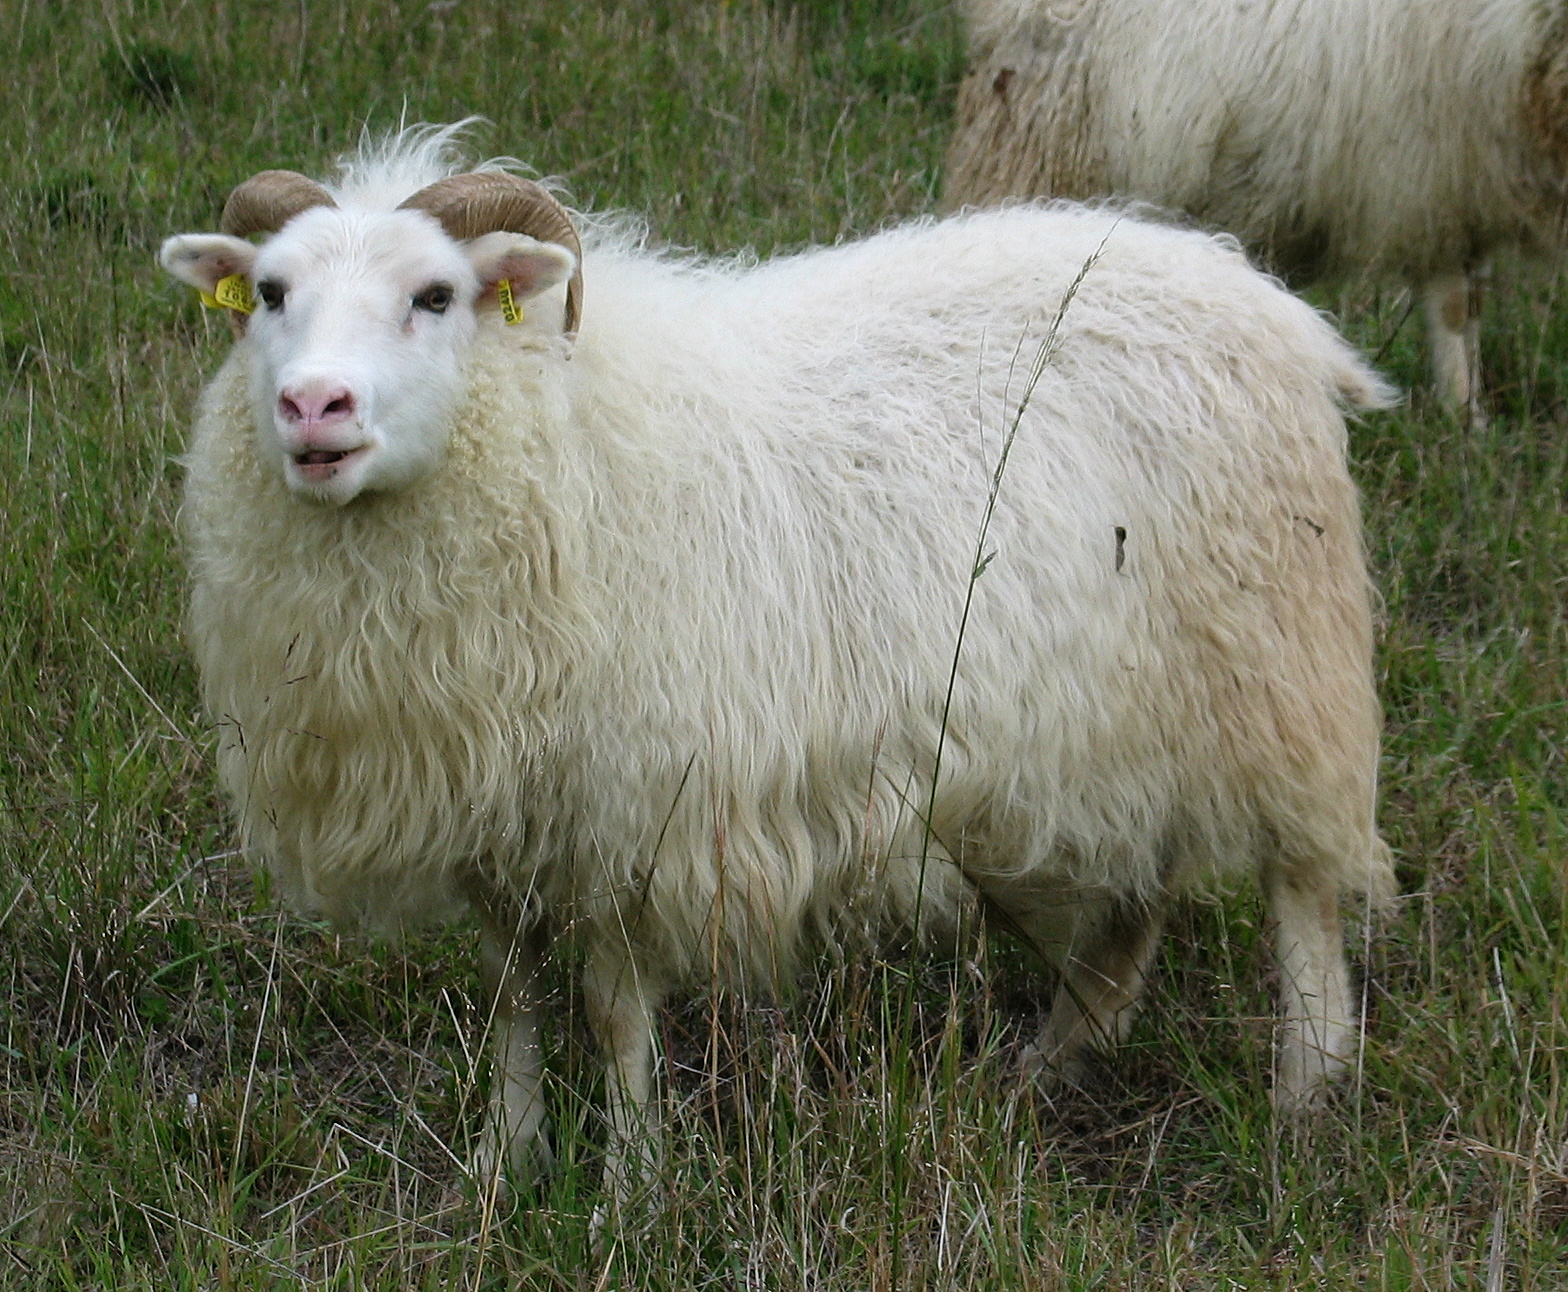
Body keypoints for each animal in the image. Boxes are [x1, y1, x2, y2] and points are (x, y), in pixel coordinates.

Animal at [159, 124, 1395, 1203]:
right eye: (269, 295)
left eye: (435, 296)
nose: (313, 406)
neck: (554, 423)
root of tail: (1265, 301)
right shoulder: (501, 819)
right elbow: (514, 998)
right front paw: (506, 1168)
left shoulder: (633, 806)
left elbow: (611, 1010)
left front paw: (631, 1187)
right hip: (1117, 720)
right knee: (1135, 899)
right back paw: (1050, 1065)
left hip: (1275, 676)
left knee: (1301, 890)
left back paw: (1303, 1096)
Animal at [944, 0, 1568, 425]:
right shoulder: (1431, 181)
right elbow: (1454, 311)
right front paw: (1463, 419)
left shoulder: (1464, 194)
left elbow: (1472, 306)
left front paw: (1471, 423)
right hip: (1044, 157)